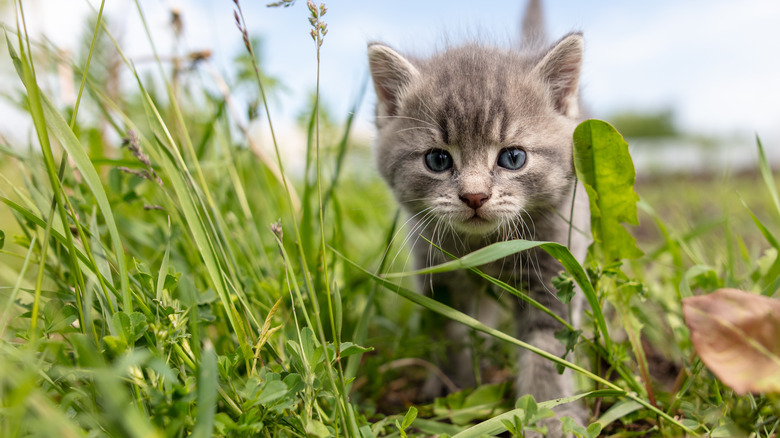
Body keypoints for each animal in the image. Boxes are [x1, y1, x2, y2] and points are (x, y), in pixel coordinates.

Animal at [368, 0, 588, 428]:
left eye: (513, 158)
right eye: (438, 160)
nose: (474, 196)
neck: (485, 248)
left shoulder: (552, 272)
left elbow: (547, 350)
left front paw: (548, 418)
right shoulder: (440, 275)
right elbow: (455, 334)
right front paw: (454, 389)